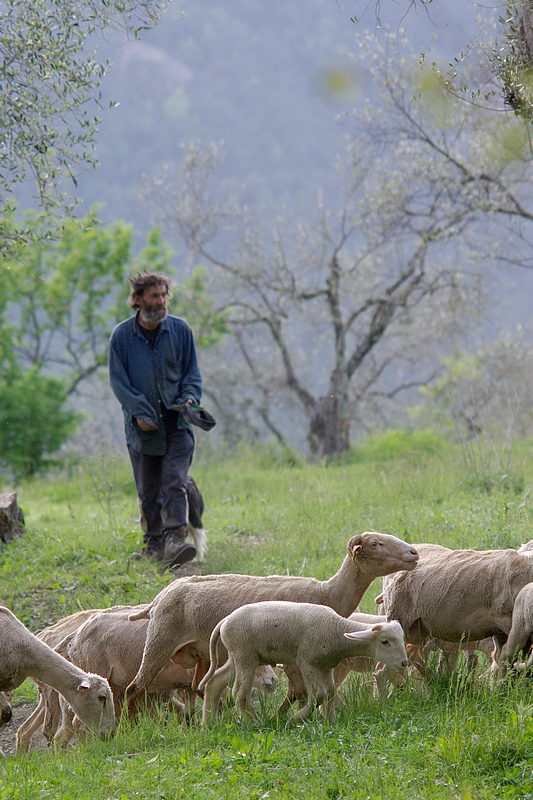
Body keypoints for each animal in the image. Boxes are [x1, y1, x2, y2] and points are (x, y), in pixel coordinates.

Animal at [125, 532, 420, 708]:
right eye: (375, 544)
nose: (414, 553)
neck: (326, 592)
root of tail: (159, 597)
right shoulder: (292, 655)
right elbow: (300, 692)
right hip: (160, 640)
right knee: (134, 688)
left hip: (203, 653)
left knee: (201, 687)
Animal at [198, 600, 408, 724]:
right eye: (385, 642)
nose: (405, 663)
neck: (336, 632)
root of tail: (224, 621)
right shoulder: (307, 662)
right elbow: (318, 695)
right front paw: (295, 719)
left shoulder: (326, 666)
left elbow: (330, 692)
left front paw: (330, 721)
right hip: (244, 655)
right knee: (239, 694)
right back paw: (256, 723)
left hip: (237, 656)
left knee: (214, 682)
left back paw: (208, 724)